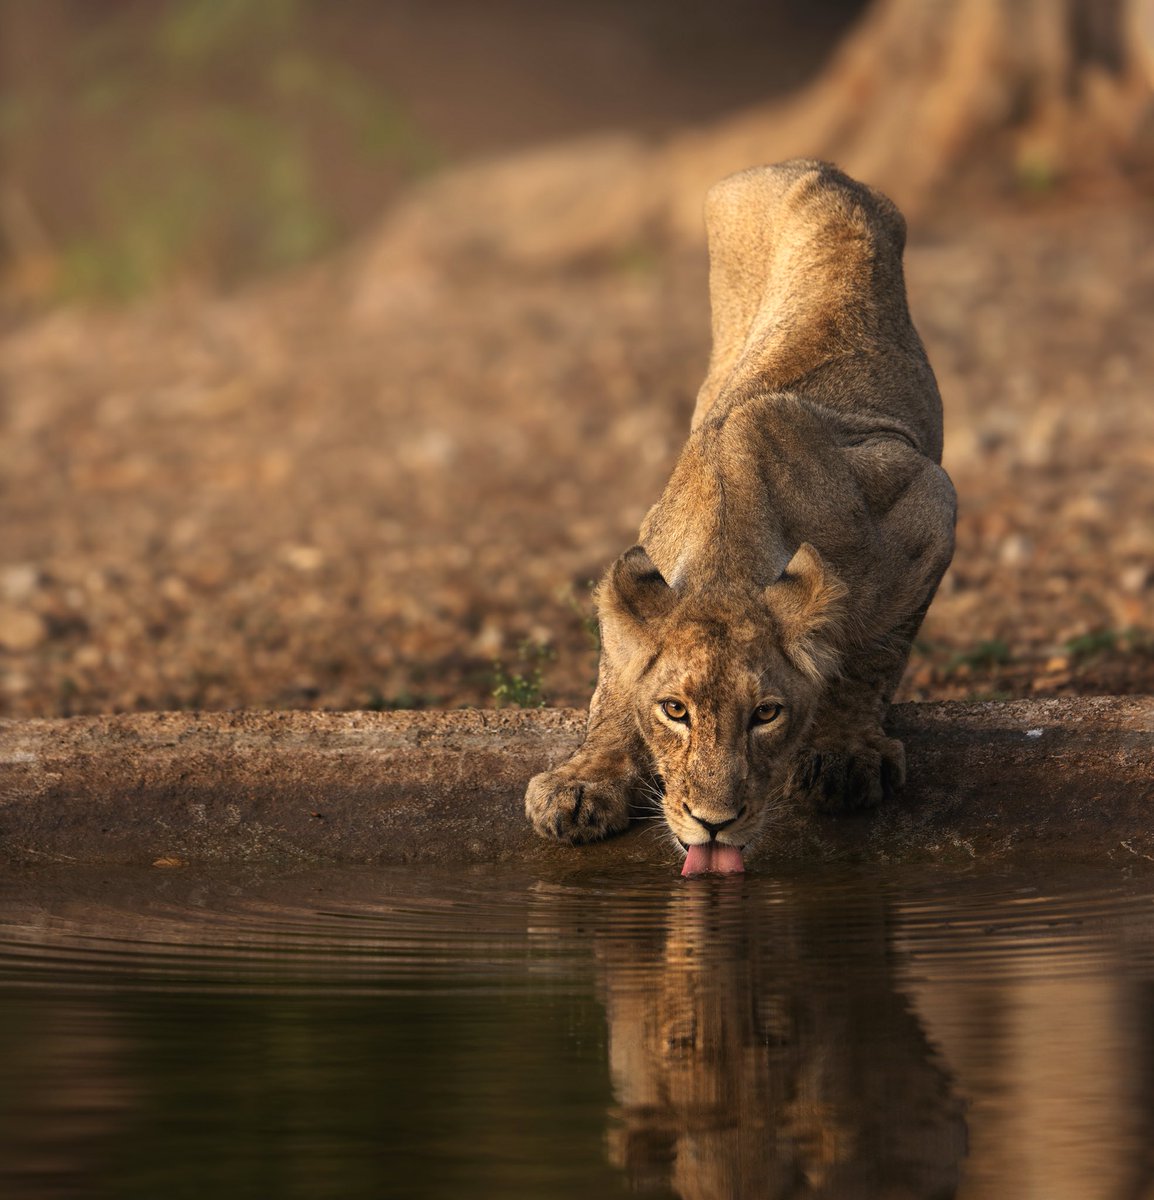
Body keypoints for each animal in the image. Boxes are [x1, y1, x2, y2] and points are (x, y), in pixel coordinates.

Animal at [523, 162, 954, 873]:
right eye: (675, 710)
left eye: (766, 714)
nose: (714, 823)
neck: (729, 554)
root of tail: (815, 168)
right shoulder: (644, 559)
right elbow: (615, 679)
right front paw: (584, 783)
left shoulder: (926, 504)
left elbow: (875, 650)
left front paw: (846, 752)